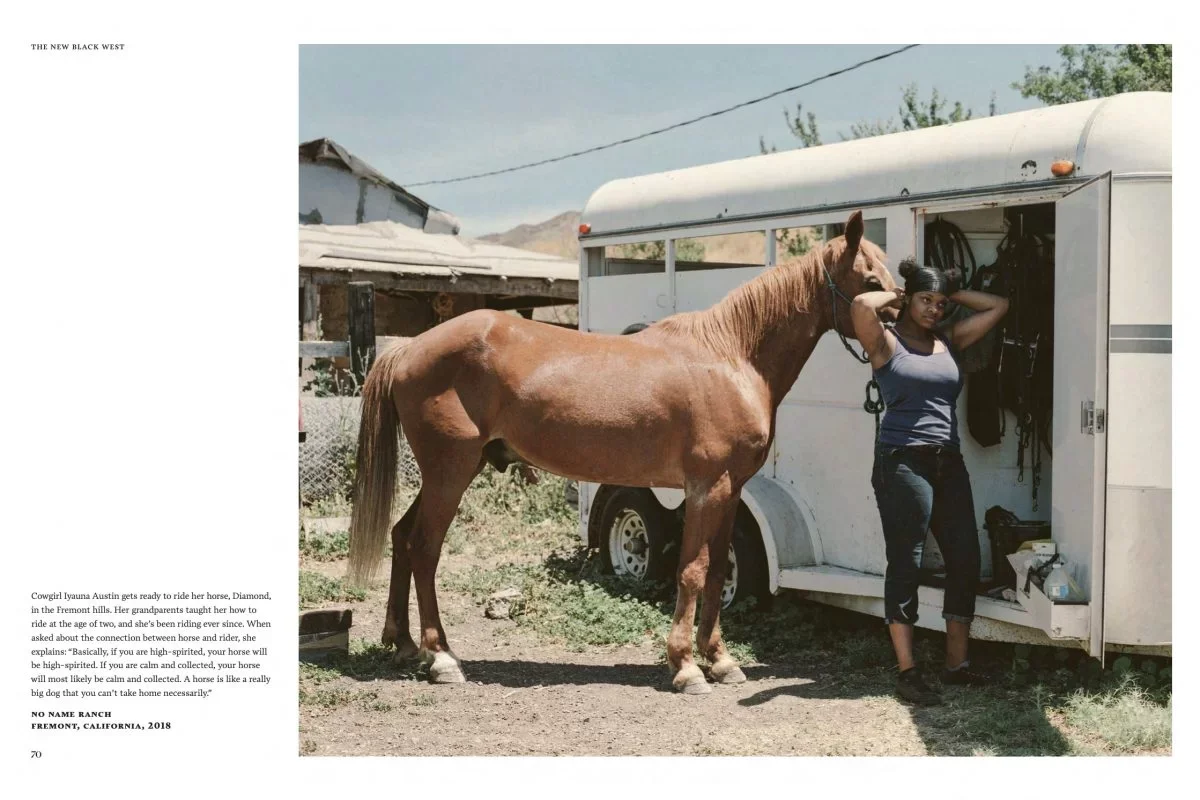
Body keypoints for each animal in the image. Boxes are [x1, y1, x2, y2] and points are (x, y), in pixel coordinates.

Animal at [347, 209, 896, 694]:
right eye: (870, 278)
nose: (900, 330)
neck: (731, 357)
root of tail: (409, 347)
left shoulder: (730, 490)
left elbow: (718, 571)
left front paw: (720, 661)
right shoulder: (705, 488)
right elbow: (692, 572)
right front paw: (686, 668)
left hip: (452, 470)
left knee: (402, 537)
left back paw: (403, 644)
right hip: (451, 471)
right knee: (424, 548)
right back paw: (441, 658)